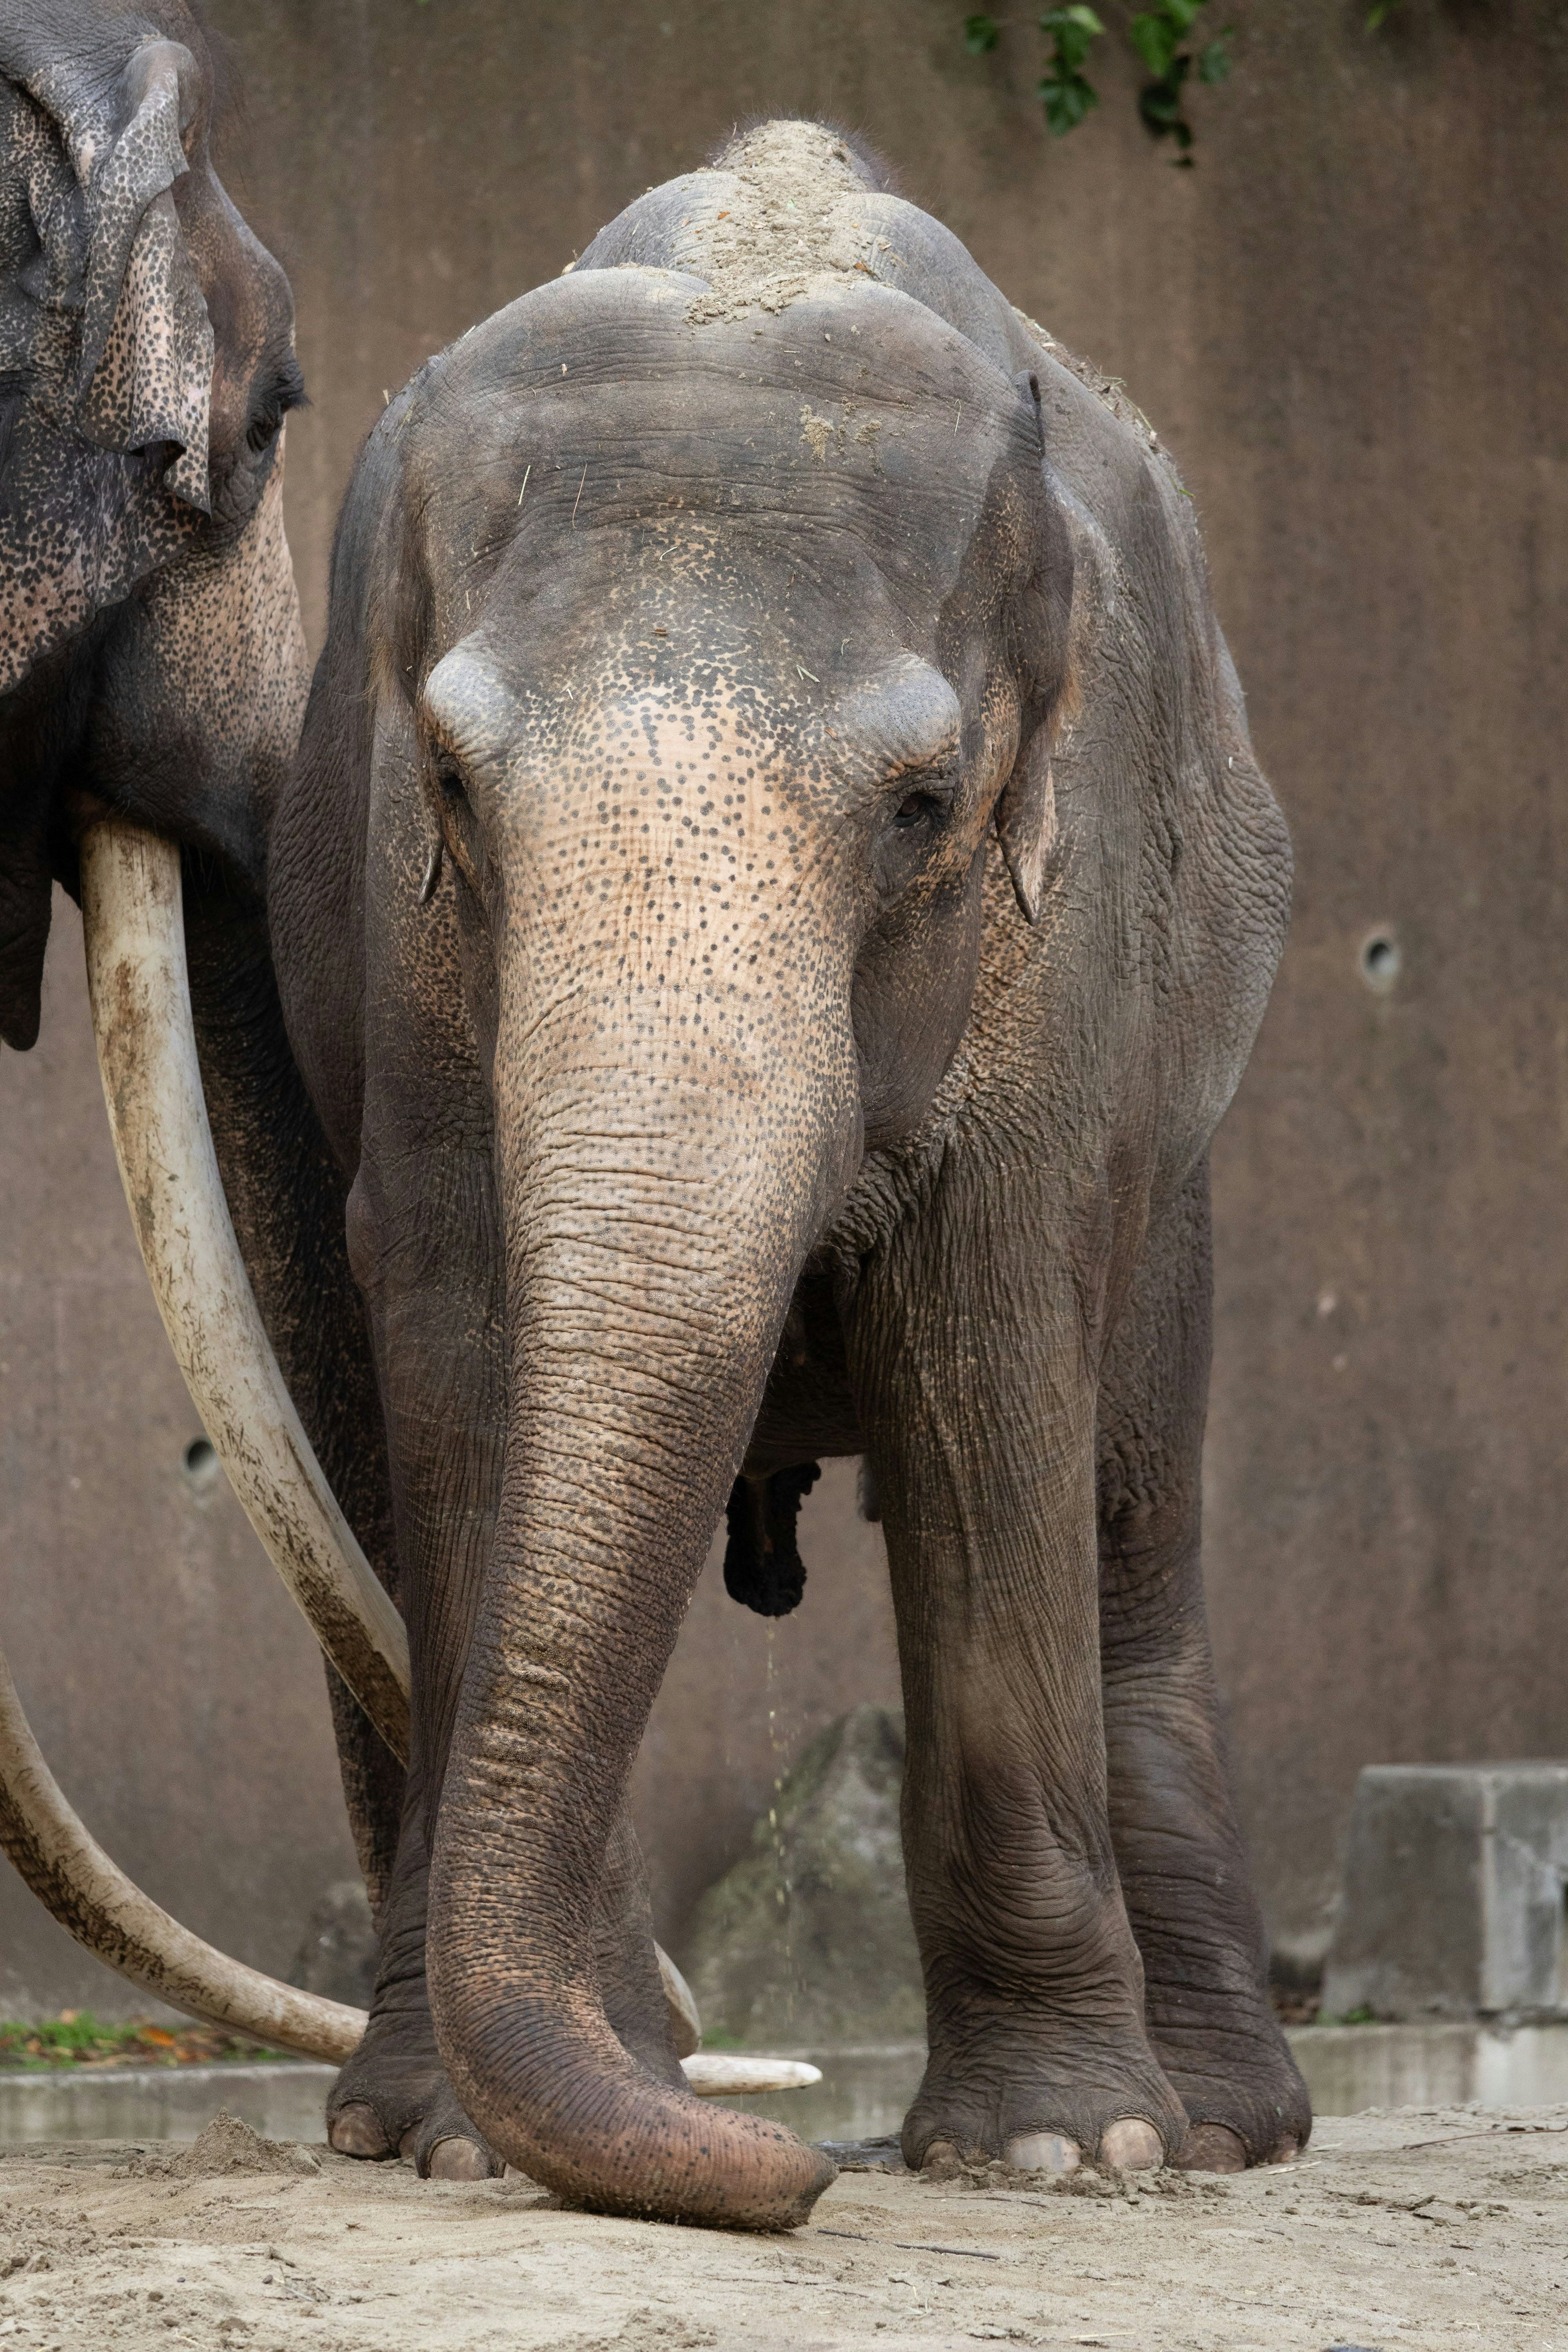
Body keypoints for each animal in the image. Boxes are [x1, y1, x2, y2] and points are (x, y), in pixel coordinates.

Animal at [245, 115, 1310, 2225]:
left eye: (924, 803)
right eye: (454, 784)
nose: (792, 2169)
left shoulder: (1063, 957)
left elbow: (990, 1342)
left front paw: (1058, 2150)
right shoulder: (394, 954)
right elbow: (455, 1344)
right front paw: (451, 2140)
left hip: (1185, 1130)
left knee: (1133, 1514)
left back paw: (1223, 2131)